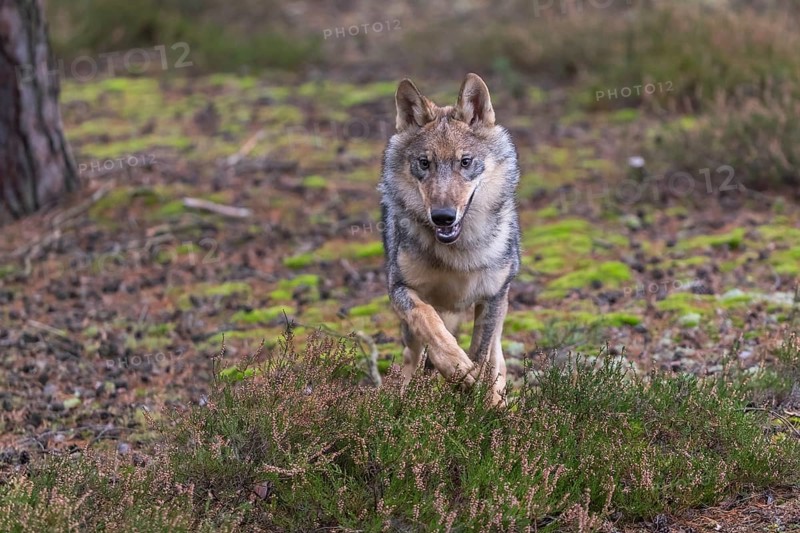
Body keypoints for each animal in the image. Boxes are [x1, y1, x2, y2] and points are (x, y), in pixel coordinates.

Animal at [379, 73, 521, 406]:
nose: (442, 216)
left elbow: (482, 355)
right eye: (424, 163)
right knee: (412, 357)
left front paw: (480, 402)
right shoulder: (400, 289)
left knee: (498, 357)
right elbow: (430, 324)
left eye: (465, 162)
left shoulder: (492, 296)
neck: (458, 253)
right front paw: (457, 370)